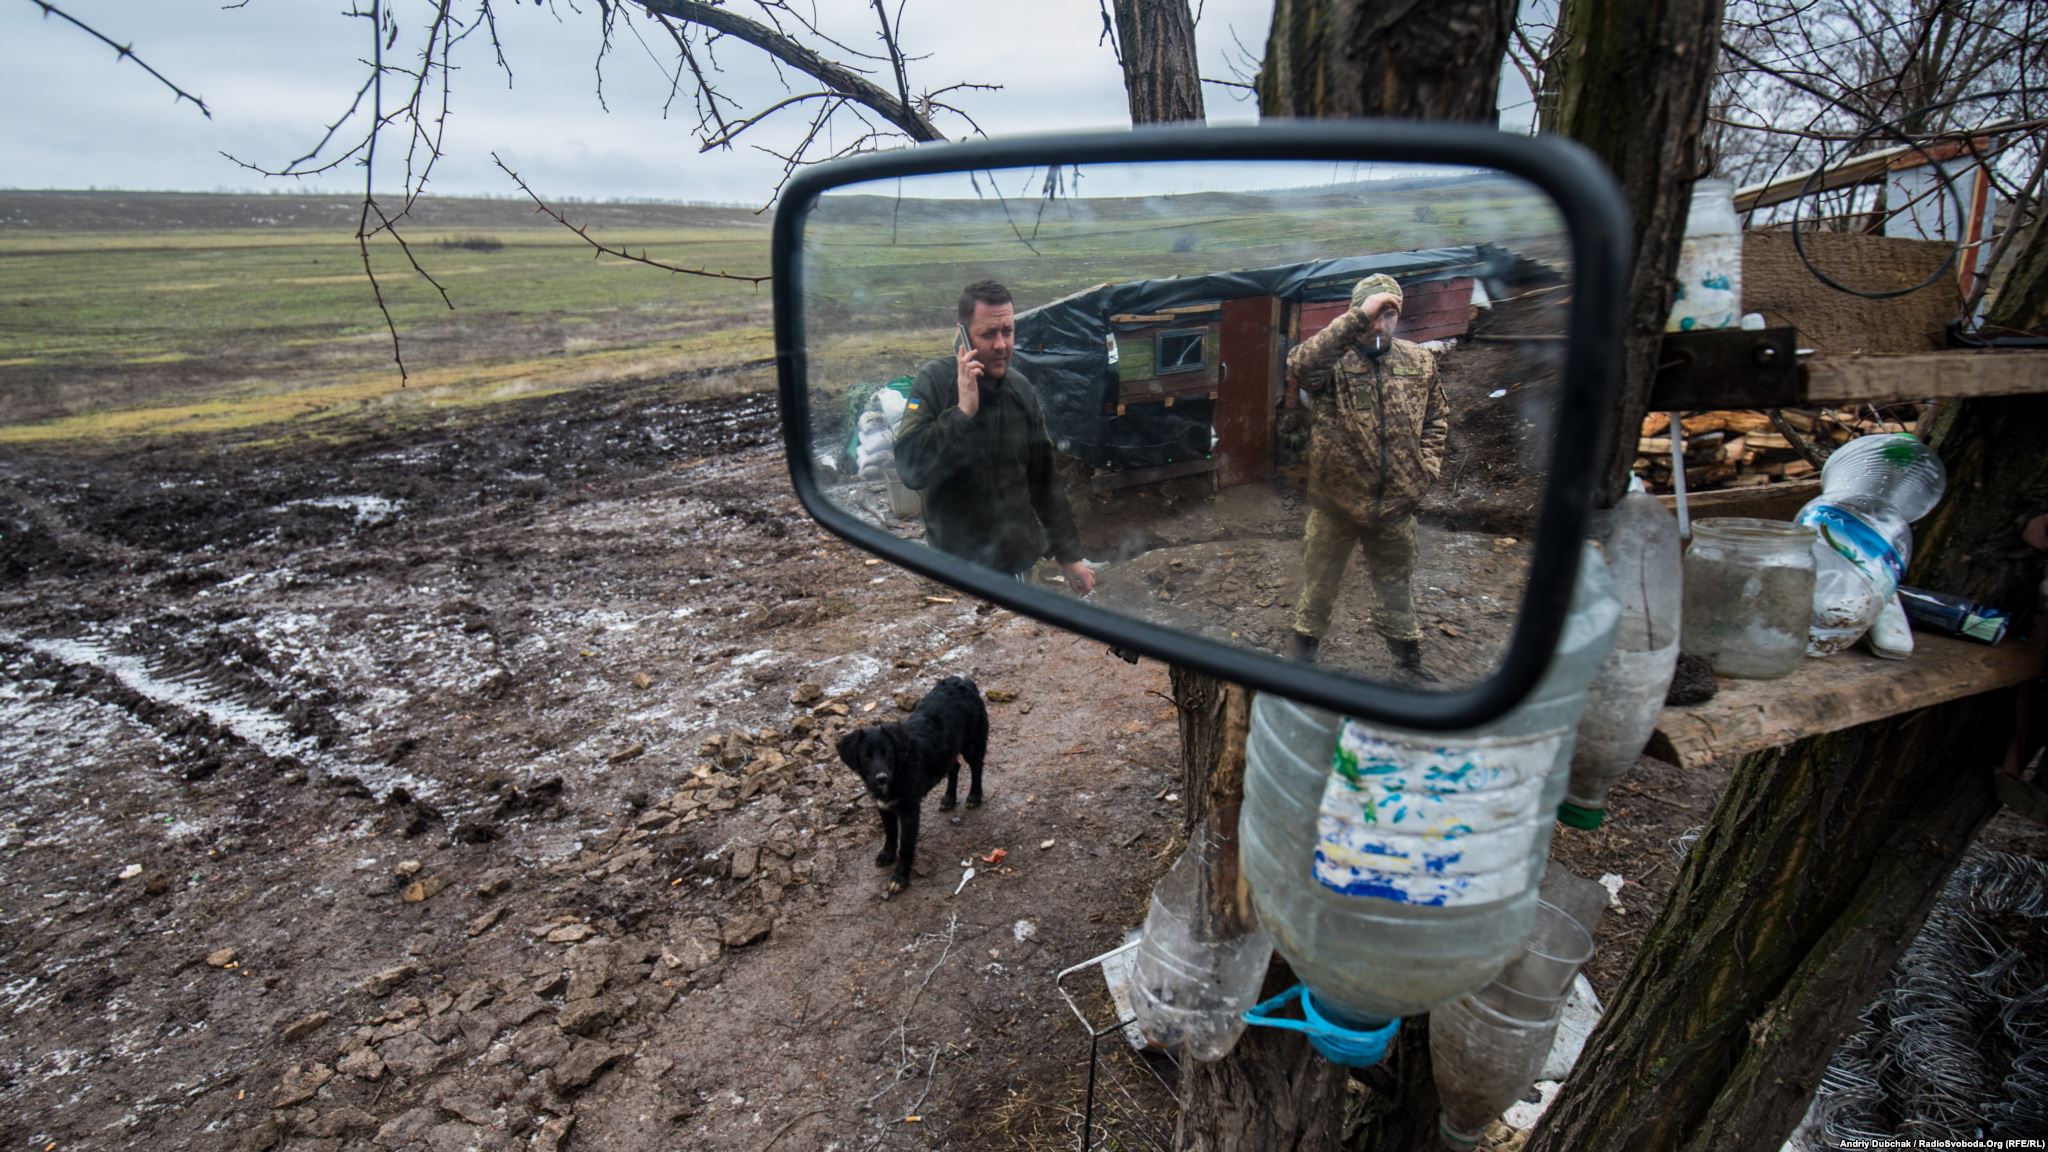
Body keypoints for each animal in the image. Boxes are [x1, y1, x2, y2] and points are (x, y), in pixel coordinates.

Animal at [835, 672, 987, 897]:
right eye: (866, 756)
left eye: (887, 752)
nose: (881, 778)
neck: (899, 770)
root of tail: (962, 680)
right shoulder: (884, 807)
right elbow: (890, 834)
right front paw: (887, 854)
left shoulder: (909, 811)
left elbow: (906, 846)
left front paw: (899, 878)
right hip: (947, 750)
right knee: (955, 766)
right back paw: (949, 798)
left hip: (972, 743)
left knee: (976, 767)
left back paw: (974, 796)